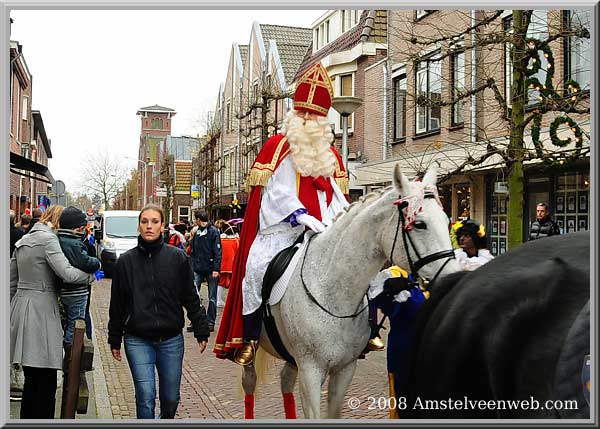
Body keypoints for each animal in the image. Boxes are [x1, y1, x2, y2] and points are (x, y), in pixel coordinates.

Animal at [241, 162, 458, 416]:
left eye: (446, 221)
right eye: (420, 224)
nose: (453, 278)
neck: (333, 293)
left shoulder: (345, 369)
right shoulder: (311, 372)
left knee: (285, 380)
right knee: (249, 384)